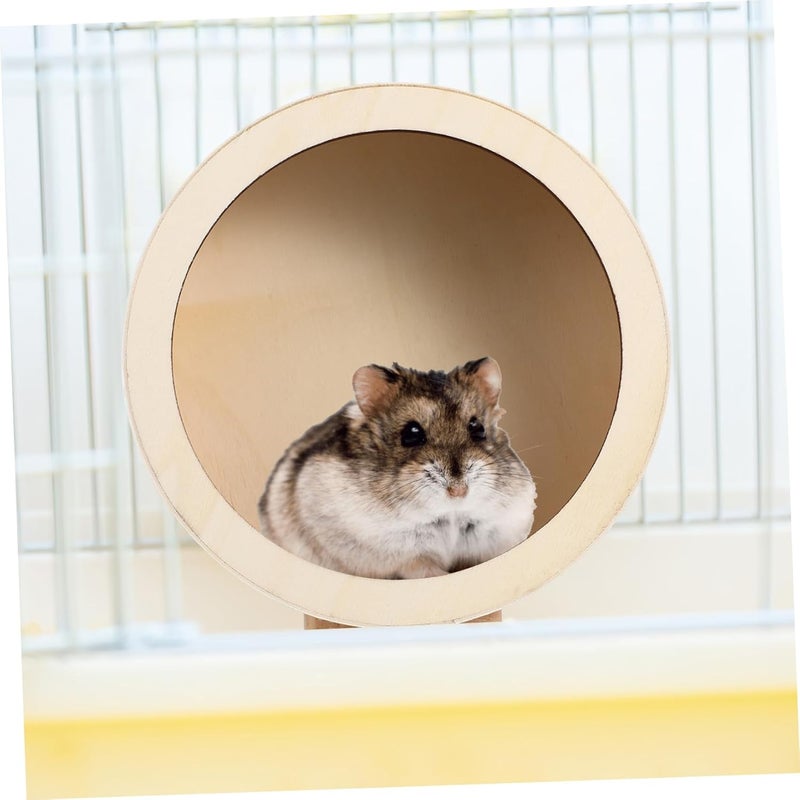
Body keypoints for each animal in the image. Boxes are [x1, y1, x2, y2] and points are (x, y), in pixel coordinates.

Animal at [257, 357, 536, 579]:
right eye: (411, 434)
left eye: (477, 428)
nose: (458, 491)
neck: (450, 514)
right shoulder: (396, 551)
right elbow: (421, 566)